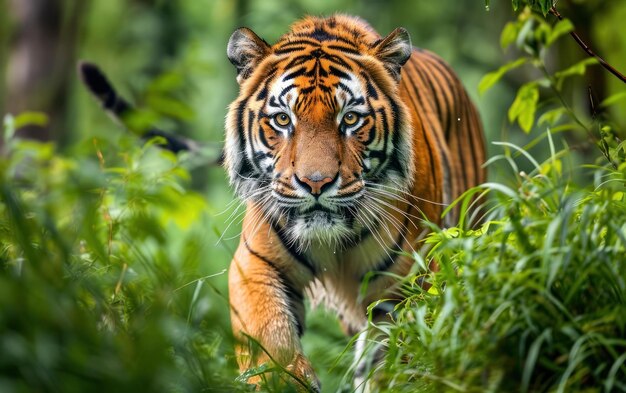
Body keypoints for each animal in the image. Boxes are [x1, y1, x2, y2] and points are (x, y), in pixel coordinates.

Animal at [225, 13, 488, 390]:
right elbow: (269, 336)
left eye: (349, 118)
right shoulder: (256, 263)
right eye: (283, 119)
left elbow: (397, 360)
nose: (315, 183)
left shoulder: (410, 284)